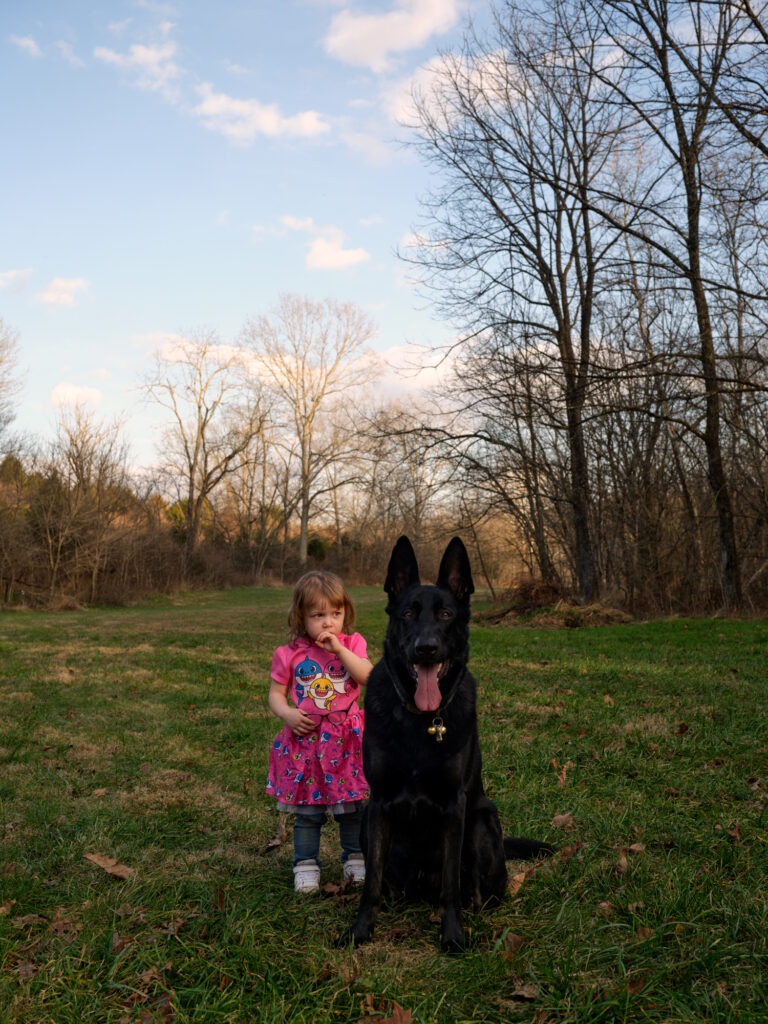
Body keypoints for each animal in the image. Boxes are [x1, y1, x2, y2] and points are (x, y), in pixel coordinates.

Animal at [342, 536, 552, 950]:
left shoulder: (455, 807)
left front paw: (452, 935)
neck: (421, 720)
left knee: (477, 890)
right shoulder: (378, 803)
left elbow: (452, 885)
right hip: (367, 822)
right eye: (408, 614)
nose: (426, 648)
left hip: (482, 822)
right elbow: (370, 882)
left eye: (445, 614)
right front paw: (361, 930)